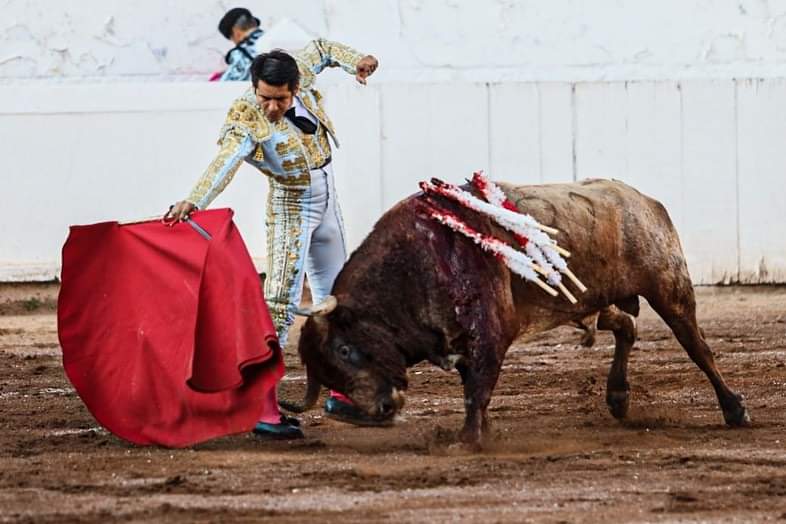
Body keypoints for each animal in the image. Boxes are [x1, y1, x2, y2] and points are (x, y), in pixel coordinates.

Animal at [284, 179, 752, 446]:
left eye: (345, 350)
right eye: (326, 373)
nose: (379, 411)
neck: (413, 264)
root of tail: (645, 200)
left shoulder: (491, 331)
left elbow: (478, 389)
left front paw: (468, 441)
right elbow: (474, 385)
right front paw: (480, 433)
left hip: (669, 287)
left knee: (698, 348)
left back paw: (734, 410)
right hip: (593, 299)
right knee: (625, 326)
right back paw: (618, 396)